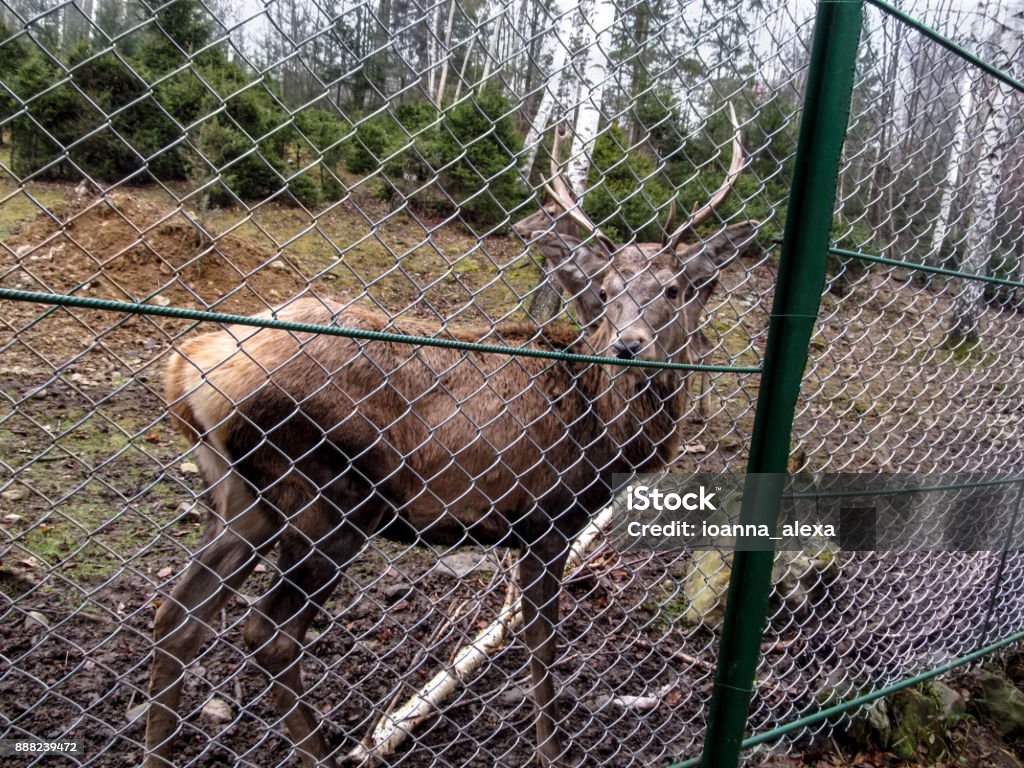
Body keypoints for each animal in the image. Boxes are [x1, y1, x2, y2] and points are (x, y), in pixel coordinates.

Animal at [142, 166, 753, 768]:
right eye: (605, 292)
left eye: (673, 288)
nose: (629, 346)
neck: (605, 432)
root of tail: (185, 370)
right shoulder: (546, 519)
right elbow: (542, 644)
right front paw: (552, 751)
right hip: (327, 498)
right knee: (268, 632)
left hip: (239, 501)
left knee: (177, 618)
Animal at [512, 105, 753, 421]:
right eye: (605, 292)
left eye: (672, 289)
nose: (628, 346)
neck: (580, 297)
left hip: (692, 311)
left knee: (699, 350)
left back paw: (699, 409)